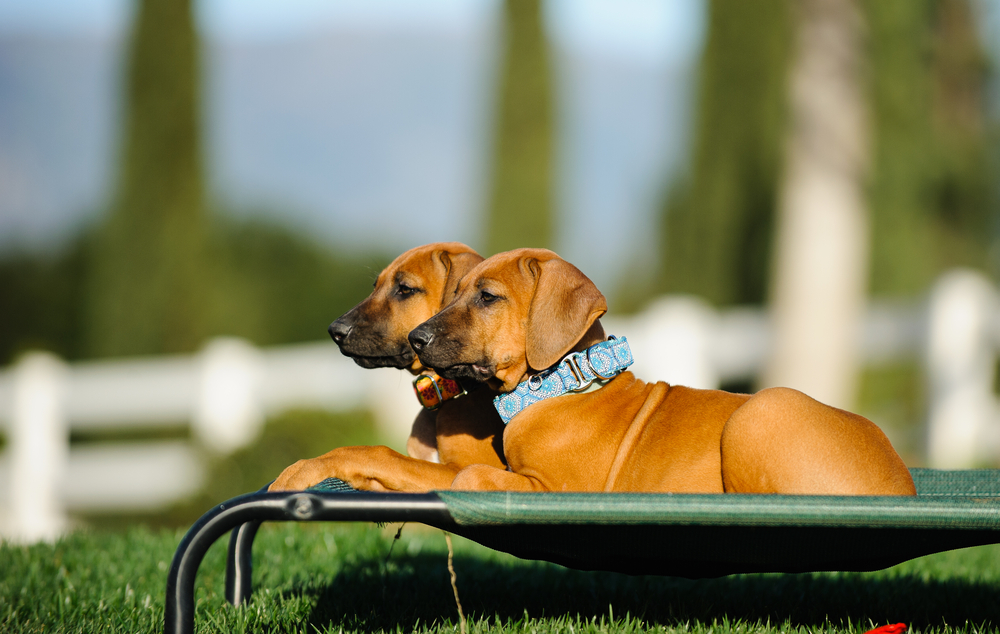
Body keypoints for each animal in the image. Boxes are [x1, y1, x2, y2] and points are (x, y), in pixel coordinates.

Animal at [268, 239, 508, 492]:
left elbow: (376, 452)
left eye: (405, 289)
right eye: (376, 286)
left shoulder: (462, 472)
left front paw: (306, 467)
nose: (335, 331)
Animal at [406, 247, 916, 494]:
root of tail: (902, 485)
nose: (416, 338)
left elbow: (471, 475)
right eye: (455, 293)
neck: (562, 383)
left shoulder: (558, 488)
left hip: (764, 410)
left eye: (488, 297)